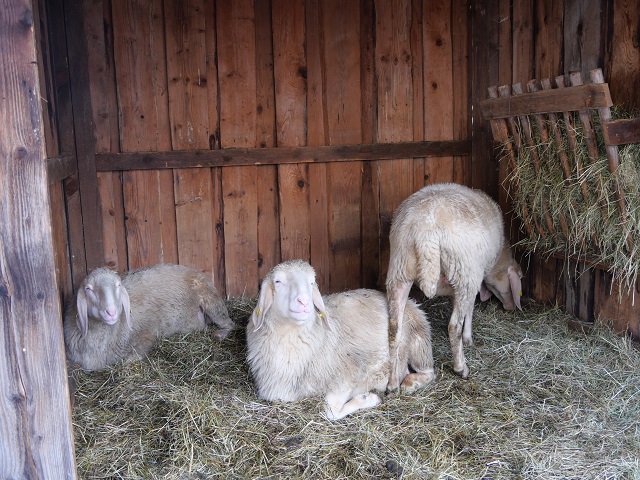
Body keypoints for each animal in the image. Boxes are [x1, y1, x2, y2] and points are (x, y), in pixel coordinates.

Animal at [63, 262, 234, 372]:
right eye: (88, 288)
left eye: (118, 285)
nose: (111, 312)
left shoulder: (147, 334)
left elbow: (130, 360)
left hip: (211, 301)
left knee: (230, 324)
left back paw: (219, 334)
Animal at [245, 258, 436, 420]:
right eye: (278, 281)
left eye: (311, 282)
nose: (304, 302)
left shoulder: (349, 374)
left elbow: (329, 411)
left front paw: (368, 398)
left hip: (419, 335)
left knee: (429, 372)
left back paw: (409, 384)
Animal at [382, 182, 524, 388]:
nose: (511, 307)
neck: (499, 259)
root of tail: (427, 230)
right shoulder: (473, 277)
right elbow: (470, 309)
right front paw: (468, 338)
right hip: (463, 272)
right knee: (453, 326)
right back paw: (461, 368)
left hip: (399, 270)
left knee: (394, 329)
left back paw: (392, 383)